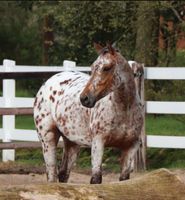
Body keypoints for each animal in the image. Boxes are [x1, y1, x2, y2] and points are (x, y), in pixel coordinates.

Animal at [33, 43, 143, 184]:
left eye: (107, 68)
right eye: (92, 67)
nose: (84, 98)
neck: (124, 109)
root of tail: (47, 83)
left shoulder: (131, 146)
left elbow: (124, 179)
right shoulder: (98, 143)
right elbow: (96, 179)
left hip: (72, 142)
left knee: (63, 174)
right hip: (47, 139)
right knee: (52, 175)